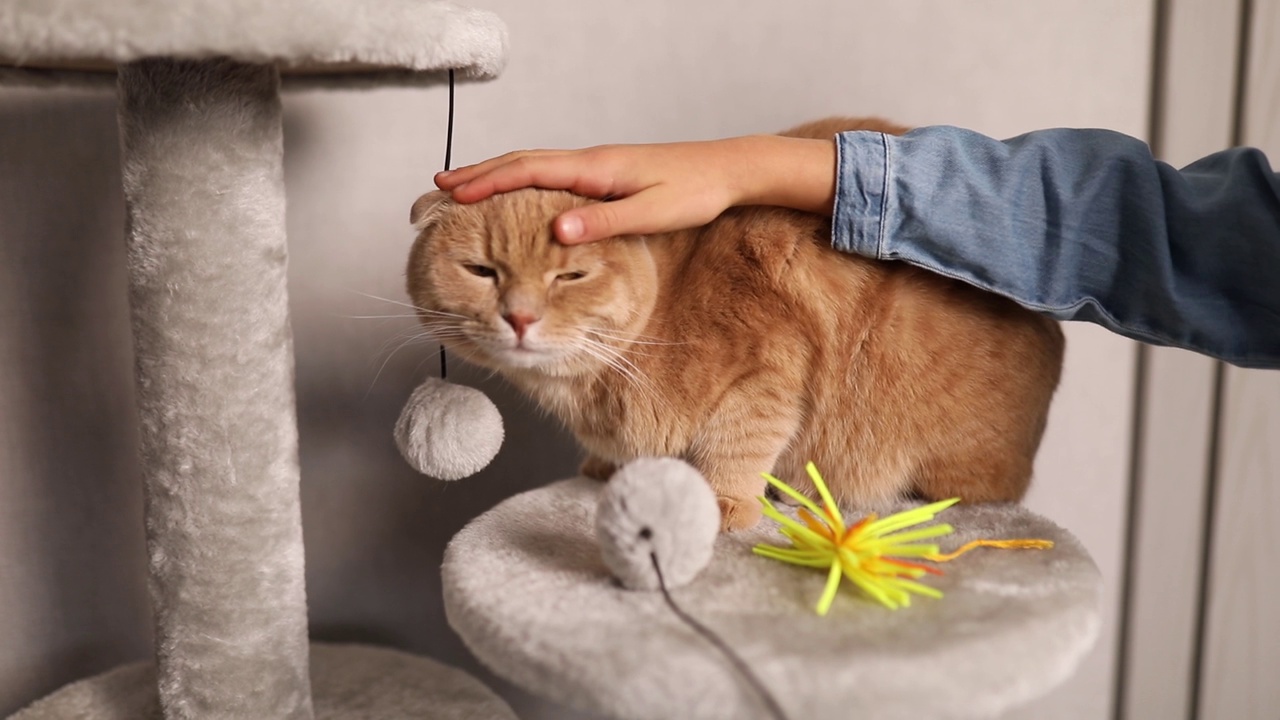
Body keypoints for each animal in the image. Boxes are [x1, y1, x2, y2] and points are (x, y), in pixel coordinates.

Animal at [407, 117, 1059, 530]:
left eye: (570, 276)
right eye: (482, 271)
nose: (520, 316)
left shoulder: (769, 367)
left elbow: (739, 441)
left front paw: (719, 504)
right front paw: (607, 468)